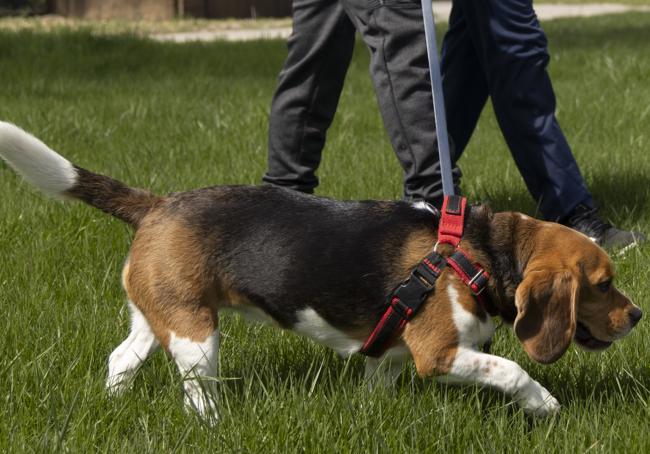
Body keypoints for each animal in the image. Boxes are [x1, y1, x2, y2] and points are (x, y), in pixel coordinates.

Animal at [0, 122, 636, 420]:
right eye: (602, 286)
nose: (636, 316)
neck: (482, 251)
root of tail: (158, 204)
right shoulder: (439, 354)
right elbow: (511, 369)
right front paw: (544, 404)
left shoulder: (390, 353)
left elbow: (377, 383)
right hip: (195, 334)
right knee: (197, 392)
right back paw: (213, 426)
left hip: (158, 314)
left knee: (121, 359)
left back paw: (114, 404)